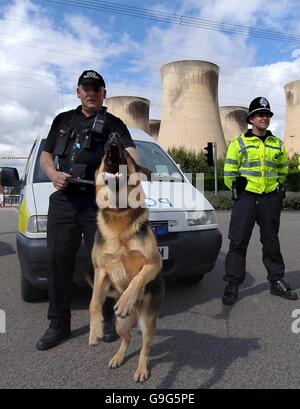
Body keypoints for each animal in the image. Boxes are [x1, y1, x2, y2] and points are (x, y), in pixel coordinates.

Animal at [89, 132, 164, 380]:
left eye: (128, 157)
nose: (113, 135)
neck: (119, 210)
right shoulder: (100, 270)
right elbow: (94, 302)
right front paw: (95, 332)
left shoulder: (153, 263)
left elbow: (137, 280)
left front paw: (125, 300)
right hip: (120, 325)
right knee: (128, 337)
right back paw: (118, 357)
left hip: (148, 321)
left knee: (145, 347)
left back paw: (141, 368)